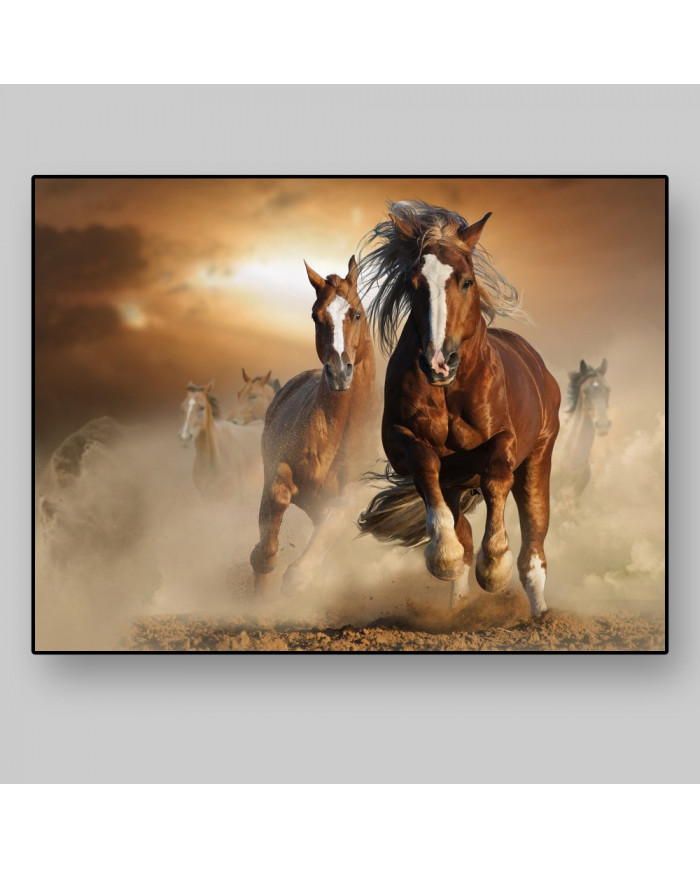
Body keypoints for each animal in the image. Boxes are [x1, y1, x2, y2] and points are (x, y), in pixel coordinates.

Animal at [250, 255, 377, 596]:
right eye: (316, 316)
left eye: (356, 313)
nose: (339, 372)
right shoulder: (280, 471)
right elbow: (278, 497)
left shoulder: (350, 498)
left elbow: (302, 570)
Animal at [357, 201, 561, 617]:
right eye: (412, 284)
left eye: (465, 281)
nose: (438, 362)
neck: (450, 391)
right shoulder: (401, 442)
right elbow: (425, 465)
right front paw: (444, 556)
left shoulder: (505, 441)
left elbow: (496, 475)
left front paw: (494, 567)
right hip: (456, 483)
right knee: (462, 527)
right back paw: (459, 604)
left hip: (538, 458)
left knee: (534, 544)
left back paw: (539, 615)